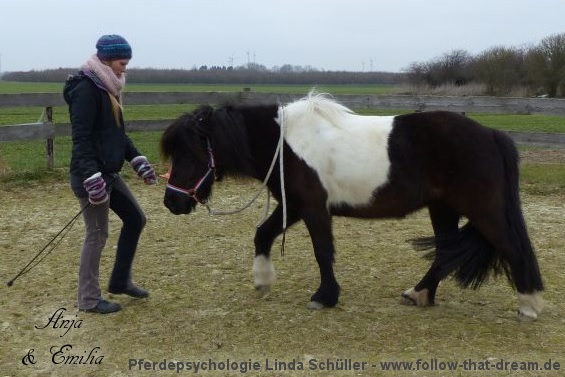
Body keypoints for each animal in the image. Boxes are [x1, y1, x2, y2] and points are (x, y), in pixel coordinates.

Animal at [159, 92, 540, 318]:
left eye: (191, 153)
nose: (172, 201)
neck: (286, 143)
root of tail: (490, 134)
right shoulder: (293, 205)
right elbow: (262, 235)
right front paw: (263, 280)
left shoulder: (313, 208)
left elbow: (322, 251)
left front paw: (325, 296)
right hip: (442, 208)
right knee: (446, 252)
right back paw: (418, 294)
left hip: (481, 208)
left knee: (511, 247)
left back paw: (529, 304)